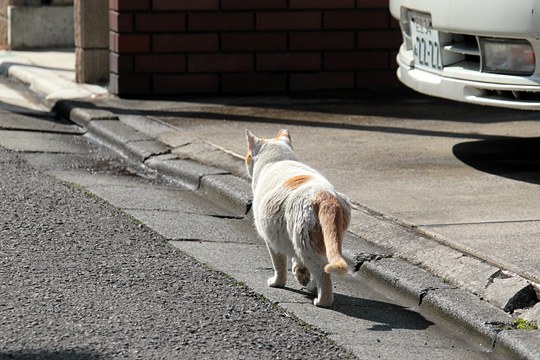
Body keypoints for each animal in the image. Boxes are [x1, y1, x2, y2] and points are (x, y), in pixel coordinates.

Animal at [245, 129, 350, 306]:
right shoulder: (285, 236)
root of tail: (325, 196)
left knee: (322, 273)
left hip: (304, 240)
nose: (245, 159)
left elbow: (279, 265)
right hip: (322, 240)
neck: (277, 160)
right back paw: (312, 287)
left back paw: (320, 299)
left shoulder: (272, 240)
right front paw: (301, 274)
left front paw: (277, 283)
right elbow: (296, 261)